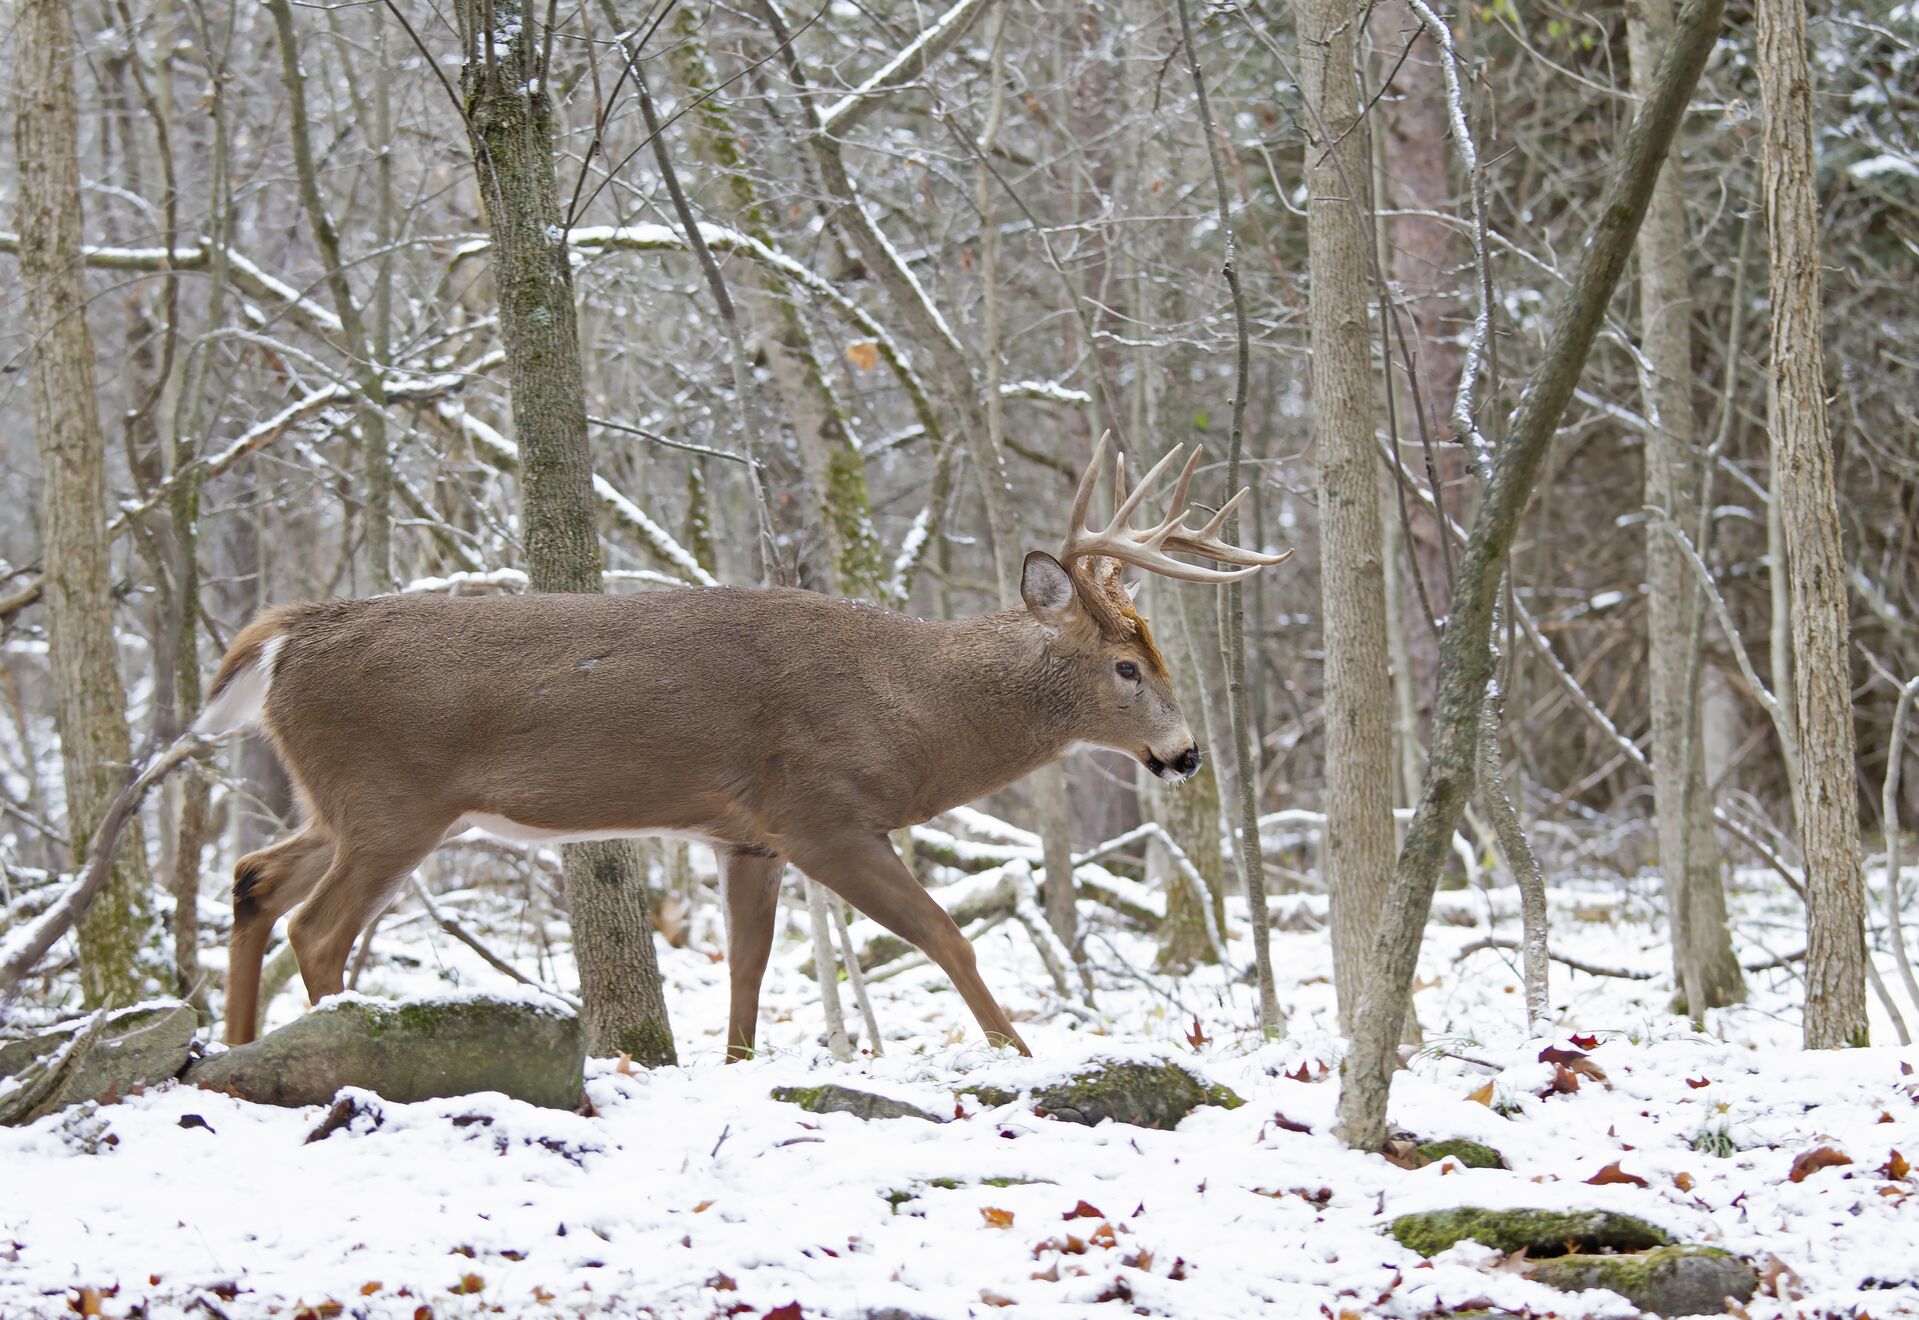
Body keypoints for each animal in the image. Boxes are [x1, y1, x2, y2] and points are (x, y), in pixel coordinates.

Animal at [197, 432, 1291, 1057]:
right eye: (1126, 667)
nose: (1186, 754)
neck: (909, 713)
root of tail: (285, 637)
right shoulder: (820, 811)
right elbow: (946, 935)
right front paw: (1017, 1053)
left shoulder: (746, 836)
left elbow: (748, 973)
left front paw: (735, 1067)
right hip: (393, 800)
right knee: (317, 928)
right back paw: (335, 1038)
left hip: (343, 802)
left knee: (255, 876)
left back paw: (233, 1053)